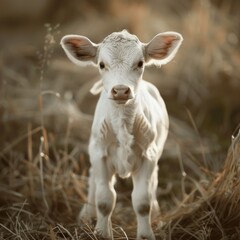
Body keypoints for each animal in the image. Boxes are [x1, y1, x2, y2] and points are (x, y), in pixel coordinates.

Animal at [61, 30, 183, 240]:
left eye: (140, 63)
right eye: (101, 64)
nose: (120, 90)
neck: (123, 123)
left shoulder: (148, 155)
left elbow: (142, 202)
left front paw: (146, 234)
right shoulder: (100, 154)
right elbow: (105, 200)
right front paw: (102, 233)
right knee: (93, 178)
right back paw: (87, 214)